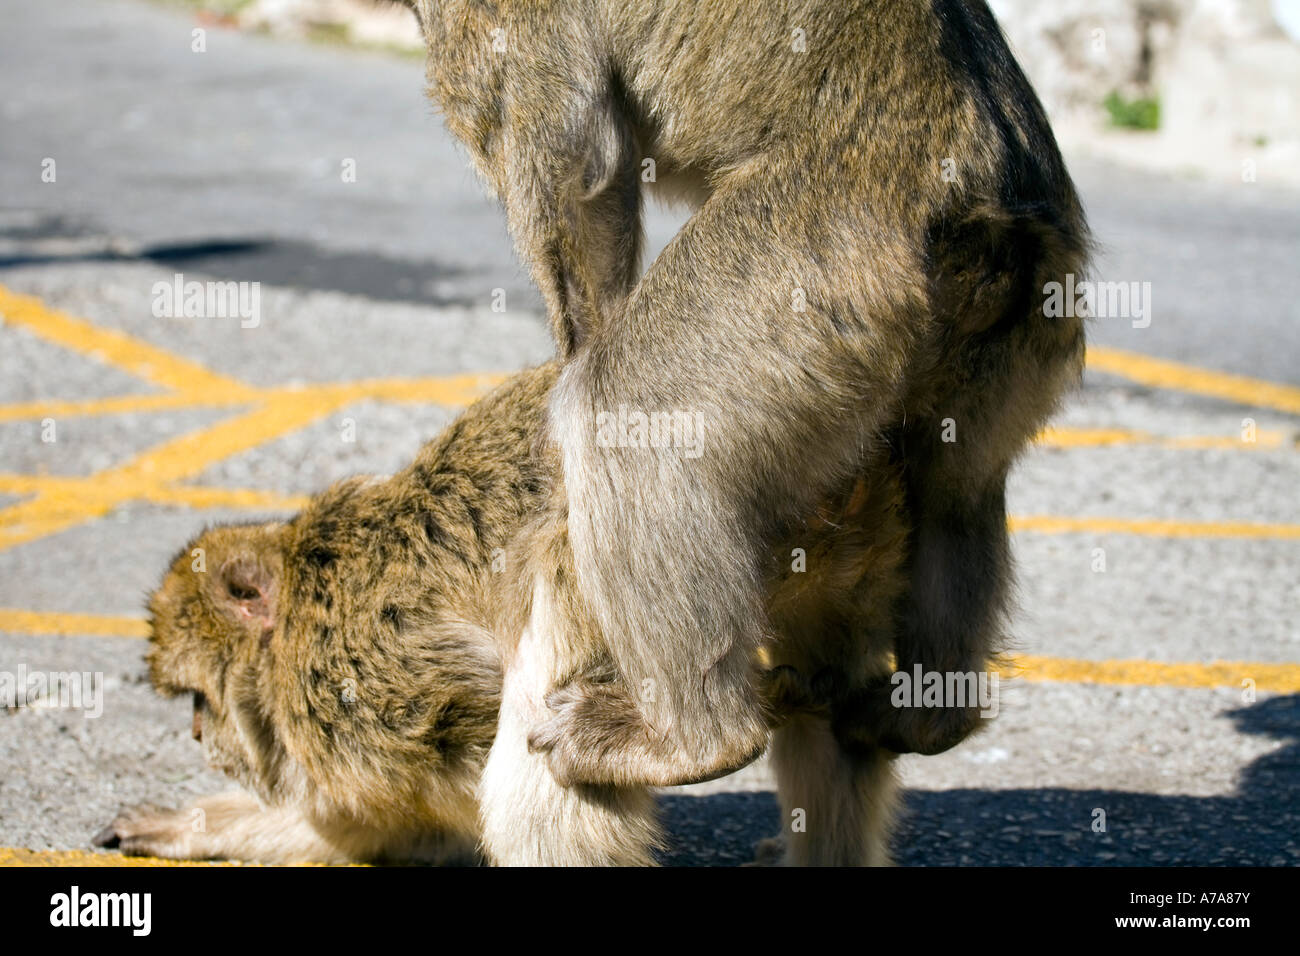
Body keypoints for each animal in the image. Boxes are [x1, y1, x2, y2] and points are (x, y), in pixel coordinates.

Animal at [405, 0, 1086, 863]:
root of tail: (985, 216)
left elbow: (579, 159)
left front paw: (574, 352)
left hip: (818, 262)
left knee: (624, 414)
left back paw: (691, 742)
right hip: (1026, 324)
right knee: (959, 492)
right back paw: (929, 715)